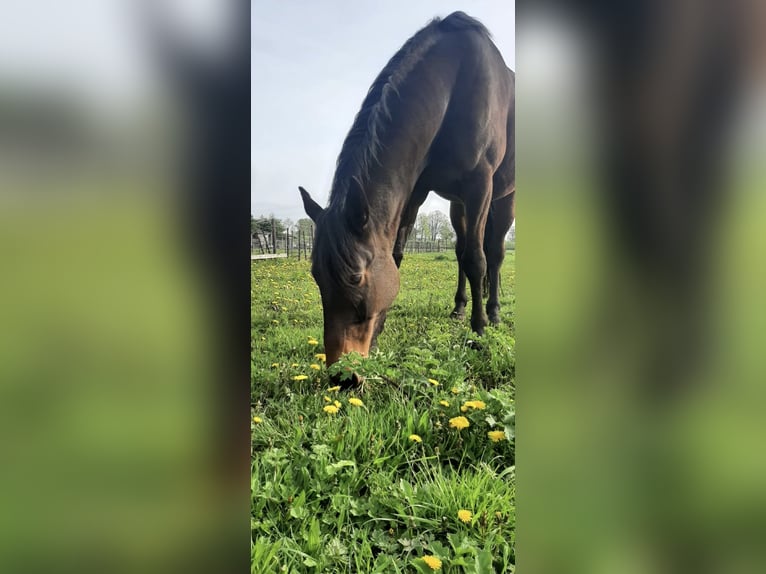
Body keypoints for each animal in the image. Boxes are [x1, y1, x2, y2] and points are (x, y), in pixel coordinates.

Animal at [300, 11, 516, 378]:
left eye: (355, 277)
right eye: (316, 275)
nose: (342, 376)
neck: (455, 83)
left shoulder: (480, 185)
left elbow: (478, 259)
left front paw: (480, 330)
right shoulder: (415, 191)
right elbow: (399, 255)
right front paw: (378, 335)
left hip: (502, 199)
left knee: (492, 253)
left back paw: (493, 312)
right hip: (458, 205)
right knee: (461, 252)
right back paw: (459, 308)